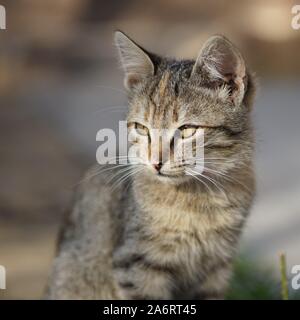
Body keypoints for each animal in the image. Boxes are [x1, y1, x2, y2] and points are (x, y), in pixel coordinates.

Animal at [45, 31, 256, 298]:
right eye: (141, 128)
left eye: (187, 130)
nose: (155, 162)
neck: (199, 197)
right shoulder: (136, 264)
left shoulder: (216, 269)